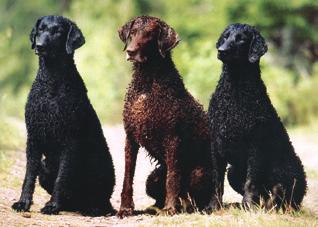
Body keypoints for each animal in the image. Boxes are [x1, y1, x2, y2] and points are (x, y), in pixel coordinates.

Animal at [11, 15, 115, 216]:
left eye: (58, 31)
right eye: (41, 29)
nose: (39, 46)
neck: (51, 81)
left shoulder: (70, 140)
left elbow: (62, 178)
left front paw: (52, 206)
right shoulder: (33, 137)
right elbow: (28, 175)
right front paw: (23, 202)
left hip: (100, 168)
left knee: (100, 200)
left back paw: (91, 208)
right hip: (44, 167)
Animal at [117, 15, 221, 217]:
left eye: (149, 34)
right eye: (132, 33)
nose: (131, 51)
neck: (147, 83)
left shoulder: (172, 138)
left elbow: (173, 178)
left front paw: (170, 208)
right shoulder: (130, 137)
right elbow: (127, 176)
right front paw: (125, 208)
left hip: (199, 173)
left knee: (194, 197)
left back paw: (184, 206)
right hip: (153, 177)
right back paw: (156, 207)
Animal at [207, 23, 306, 211]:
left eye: (241, 39)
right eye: (225, 37)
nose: (221, 51)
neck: (235, 87)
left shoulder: (256, 145)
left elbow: (251, 181)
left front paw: (248, 207)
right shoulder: (215, 144)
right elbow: (216, 180)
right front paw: (213, 206)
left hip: (286, 172)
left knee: (279, 198)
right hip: (233, 171)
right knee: (263, 195)